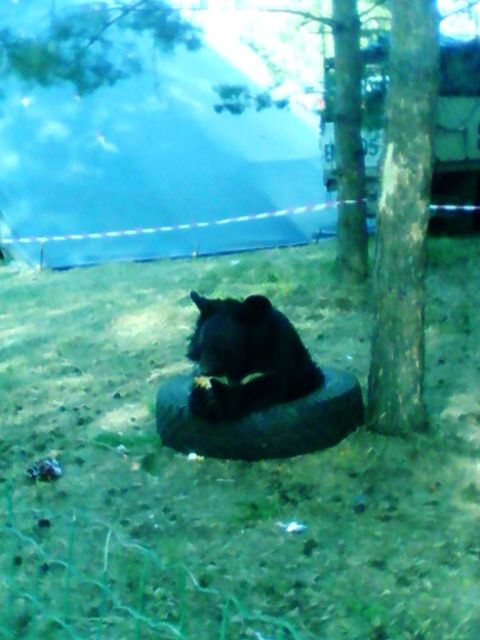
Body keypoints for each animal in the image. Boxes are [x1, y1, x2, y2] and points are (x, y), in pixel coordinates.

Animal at [186, 292, 324, 420]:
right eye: (203, 343)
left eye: (222, 347)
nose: (205, 371)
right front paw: (200, 394)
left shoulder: (278, 354)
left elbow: (273, 384)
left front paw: (215, 401)